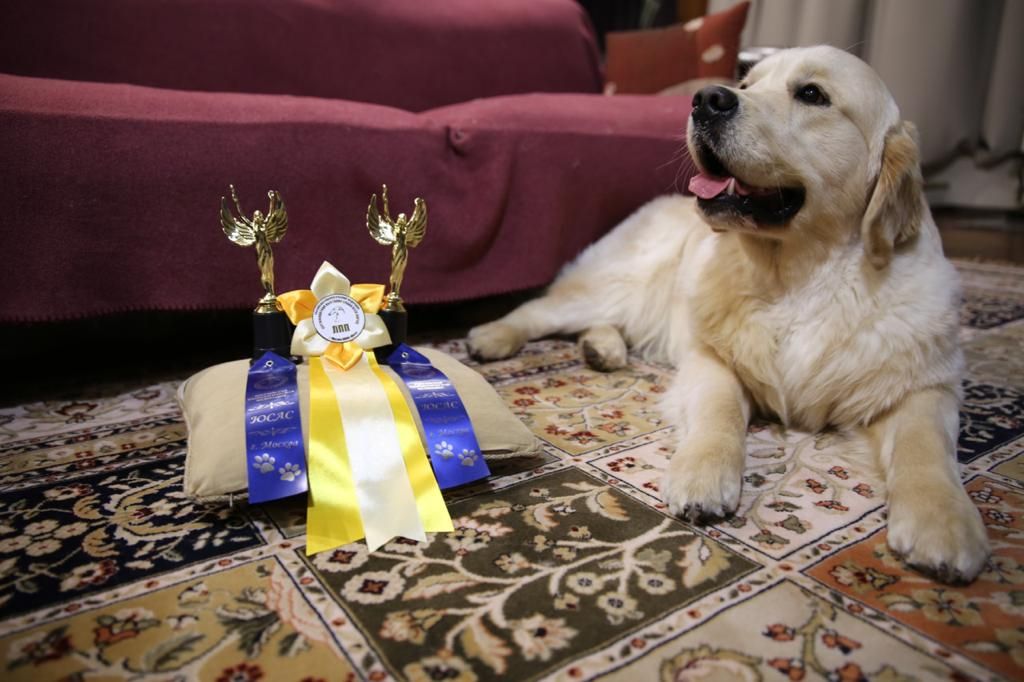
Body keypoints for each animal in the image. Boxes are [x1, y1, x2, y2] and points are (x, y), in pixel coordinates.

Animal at [468, 46, 991, 577]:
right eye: (747, 82)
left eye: (812, 94)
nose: (706, 100)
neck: (798, 277)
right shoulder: (710, 358)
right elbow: (719, 411)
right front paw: (703, 473)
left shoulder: (925, 384)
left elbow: (926, 445)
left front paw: (941, 519)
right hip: (616, 284)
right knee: (538, 309)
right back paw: (491, 337)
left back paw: (602, 349)